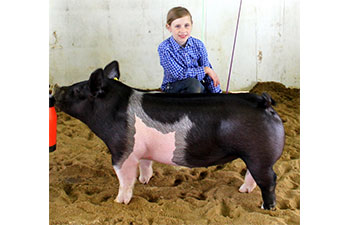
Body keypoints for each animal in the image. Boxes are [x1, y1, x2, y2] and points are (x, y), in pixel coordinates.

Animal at [54, 60, 284, 210]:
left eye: (77, 91)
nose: (55, 89)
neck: (111, 109)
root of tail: (264, 103)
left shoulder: (122, 151)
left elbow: (124, 178)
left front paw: (118, 202)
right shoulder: (142, 151)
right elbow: (146, 164)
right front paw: (145, 180)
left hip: (259, 155)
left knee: (270, 179)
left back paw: (266, 207)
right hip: (253, 156)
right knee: (252, 175)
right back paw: (243, 191)